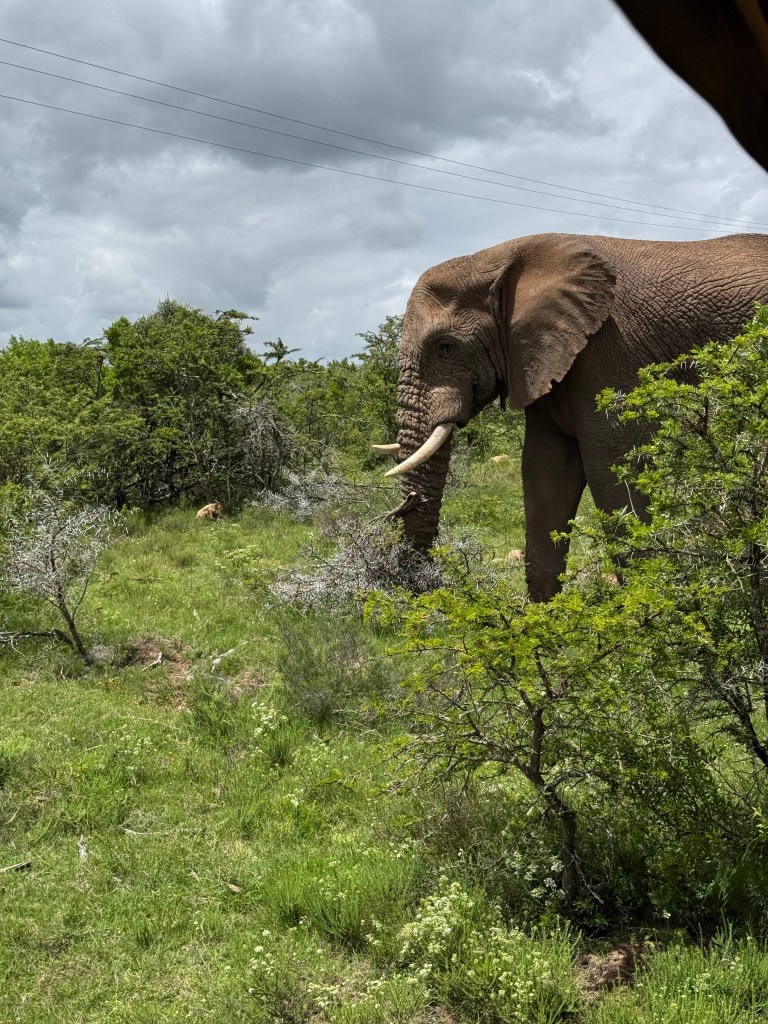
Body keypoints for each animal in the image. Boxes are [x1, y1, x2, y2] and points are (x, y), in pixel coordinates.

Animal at [374, 232, 768, 601]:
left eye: (445, 347)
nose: (423, 588)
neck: (496, 259)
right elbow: (545, 473)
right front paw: (543, 622)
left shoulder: (611, 349)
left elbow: (613, 469)